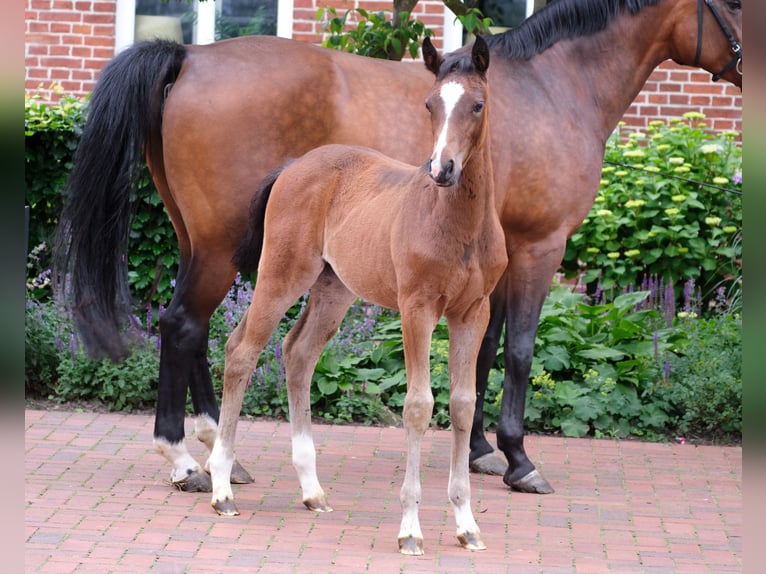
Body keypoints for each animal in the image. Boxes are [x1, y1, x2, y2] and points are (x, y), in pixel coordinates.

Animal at [60, 0, 744, 496]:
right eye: (735, 4)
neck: (552, 88)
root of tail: (188, 56)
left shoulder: (490, 268)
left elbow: (484, 353)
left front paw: (480, 452)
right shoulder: (539, 249)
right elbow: (520, 352)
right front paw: (519, 459)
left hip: (204, 243)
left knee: (198, 332)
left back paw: (218, 450)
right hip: (229, 248)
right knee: (185, 326)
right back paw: (185, 460)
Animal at [207, 36, 508, 560]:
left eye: (477, 105)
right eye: (429, 105)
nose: (442, 169)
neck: (460, 225)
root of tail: (294, 165)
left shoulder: (474, 312)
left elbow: (463, 406)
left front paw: (467, 524)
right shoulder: (417, 309)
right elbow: (418, 406)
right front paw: (410, 529)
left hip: (334, 289)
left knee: (298, 354)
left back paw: (312, 490)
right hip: (282, 274)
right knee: (242, 349)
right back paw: (222, 487)